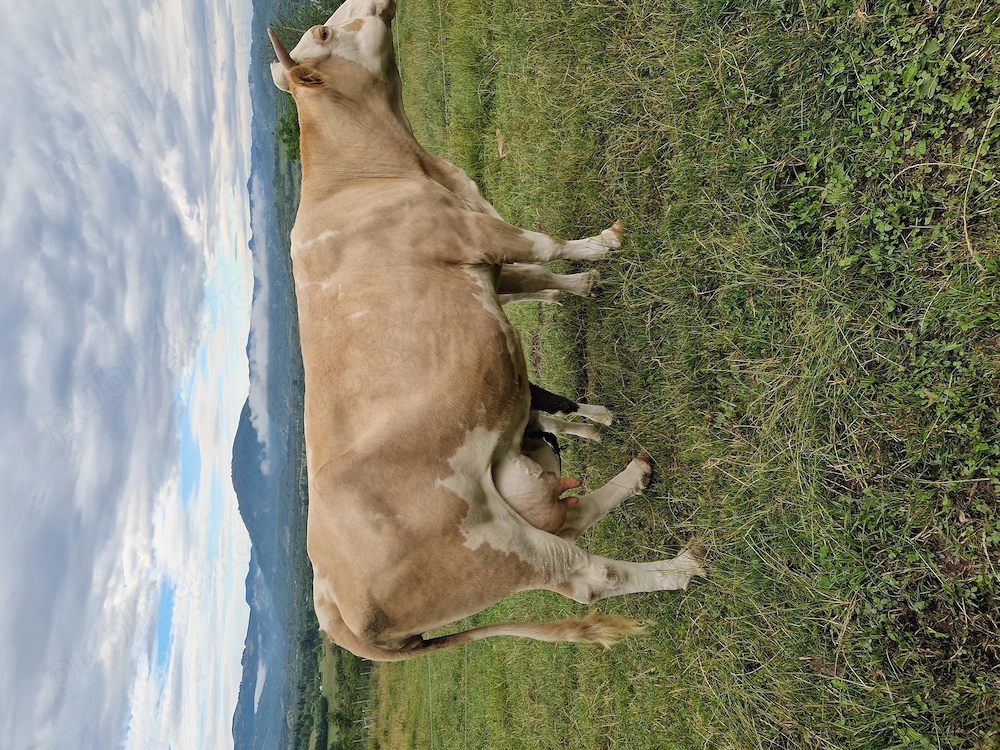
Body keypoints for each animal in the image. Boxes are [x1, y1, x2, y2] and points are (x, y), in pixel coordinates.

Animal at [267, 0, 705, 661]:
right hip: (493, 549)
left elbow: (535, 274)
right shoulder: (469, 233)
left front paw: (585, 282)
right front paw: (601, 246)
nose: (373, 3)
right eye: (324, 32)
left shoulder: (482, 256)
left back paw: (634, 477)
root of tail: (332, 610)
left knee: (571, 518)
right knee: (587, 575)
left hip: (505, 497)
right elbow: (542, 244)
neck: (373, 175)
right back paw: (678, 565)